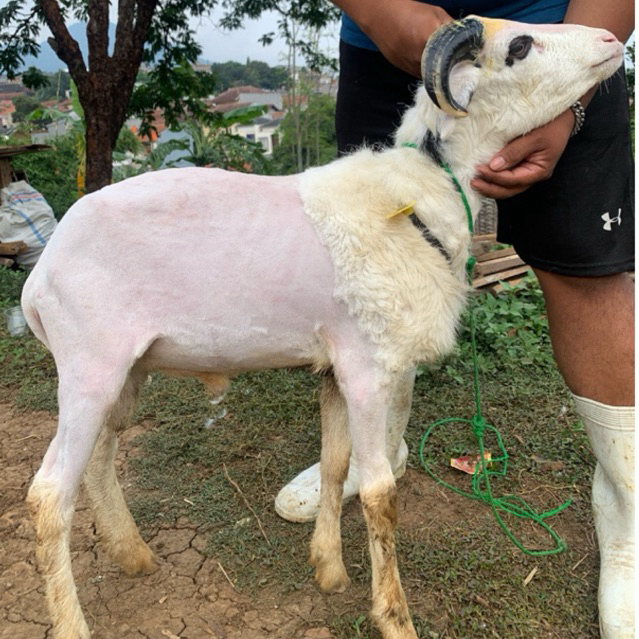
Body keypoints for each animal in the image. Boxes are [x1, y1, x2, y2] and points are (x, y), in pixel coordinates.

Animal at [21, 17, 624, 639]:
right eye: (519, 48)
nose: (611, 41)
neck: (414, 198)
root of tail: (41, 275)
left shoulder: (336, 367)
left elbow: (336, 465)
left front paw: (329, 568)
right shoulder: (365, 368)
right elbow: (379, 492)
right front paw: (394, 617)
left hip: (127, 372)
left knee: (99, 459)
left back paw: (133, 553)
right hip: (90, 365)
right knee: (48, 495)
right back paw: (72, 620)